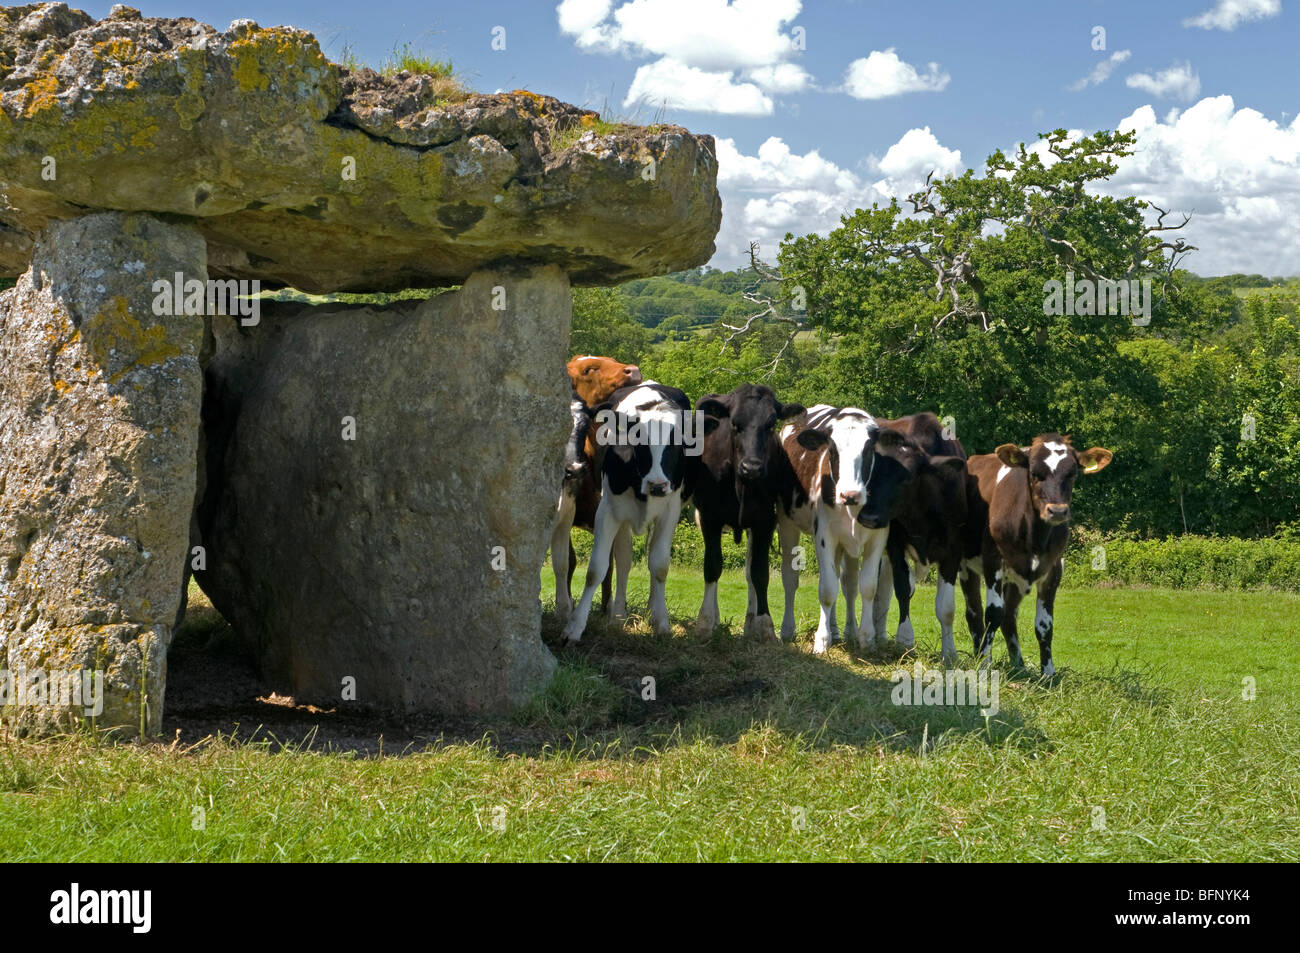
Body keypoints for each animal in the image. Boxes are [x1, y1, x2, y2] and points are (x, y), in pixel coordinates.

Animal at [564, 379, 696, 639]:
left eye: (677, 445)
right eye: (640, 441)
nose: (657, 485)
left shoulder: (670, 511)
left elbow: (660, 566)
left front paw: (662, 622)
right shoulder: (607, 511)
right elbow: (597, 569)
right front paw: (574, 626)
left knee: (652, 559)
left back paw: (653, 610)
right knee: (624, 560)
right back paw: (618, 616)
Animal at [691, 382, 800, 639]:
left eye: (770, 424)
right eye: (734, 423)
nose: (752, 467)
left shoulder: (765, 521)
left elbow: (759, 573)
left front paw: (763, 624)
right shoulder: (709, 517)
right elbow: (712, 567)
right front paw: (705, 622)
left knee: (750, 572)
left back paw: (751, 619)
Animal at [780, 400, 894, 655]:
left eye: (869, 449)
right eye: (832, 450)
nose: (849, 494)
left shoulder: (878, 537)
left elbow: (867, 586)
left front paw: (866, 637)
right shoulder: (824, 536)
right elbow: (827, 589)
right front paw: (821, 641)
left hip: (846, 545)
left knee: (848, 583)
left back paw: (844, 631)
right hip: (786, 522)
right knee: (790, 578)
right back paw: (788, 630)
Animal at [961, 434, 1112, 670]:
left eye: (1072, 474)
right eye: (1034, 473)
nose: (1057, 511)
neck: (1035, 537)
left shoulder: (1054, 567)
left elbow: (1044, 624)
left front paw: (1048, 672)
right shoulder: (992, 560)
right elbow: (993, 613)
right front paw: (984, 664)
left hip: (1016, 577)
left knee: (1009, 616)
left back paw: (1019, 665)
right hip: (965, 566)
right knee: (974, 613)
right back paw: (980, 656)